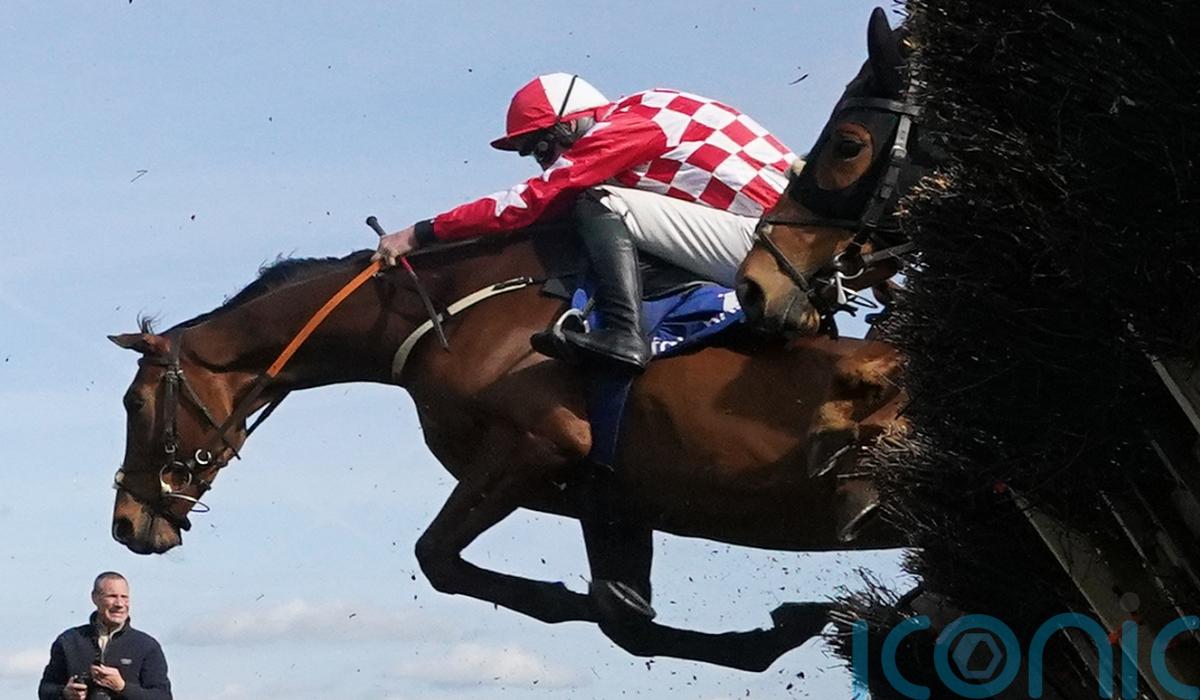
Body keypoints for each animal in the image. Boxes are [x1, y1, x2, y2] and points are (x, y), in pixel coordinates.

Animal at [108, 221, 907, 672]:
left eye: (134, 404)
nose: (125, 523)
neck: (446, 317)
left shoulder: (536, 446)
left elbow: (438, 557)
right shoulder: (612, 500)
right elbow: (626, 621)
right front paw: (779, 632)